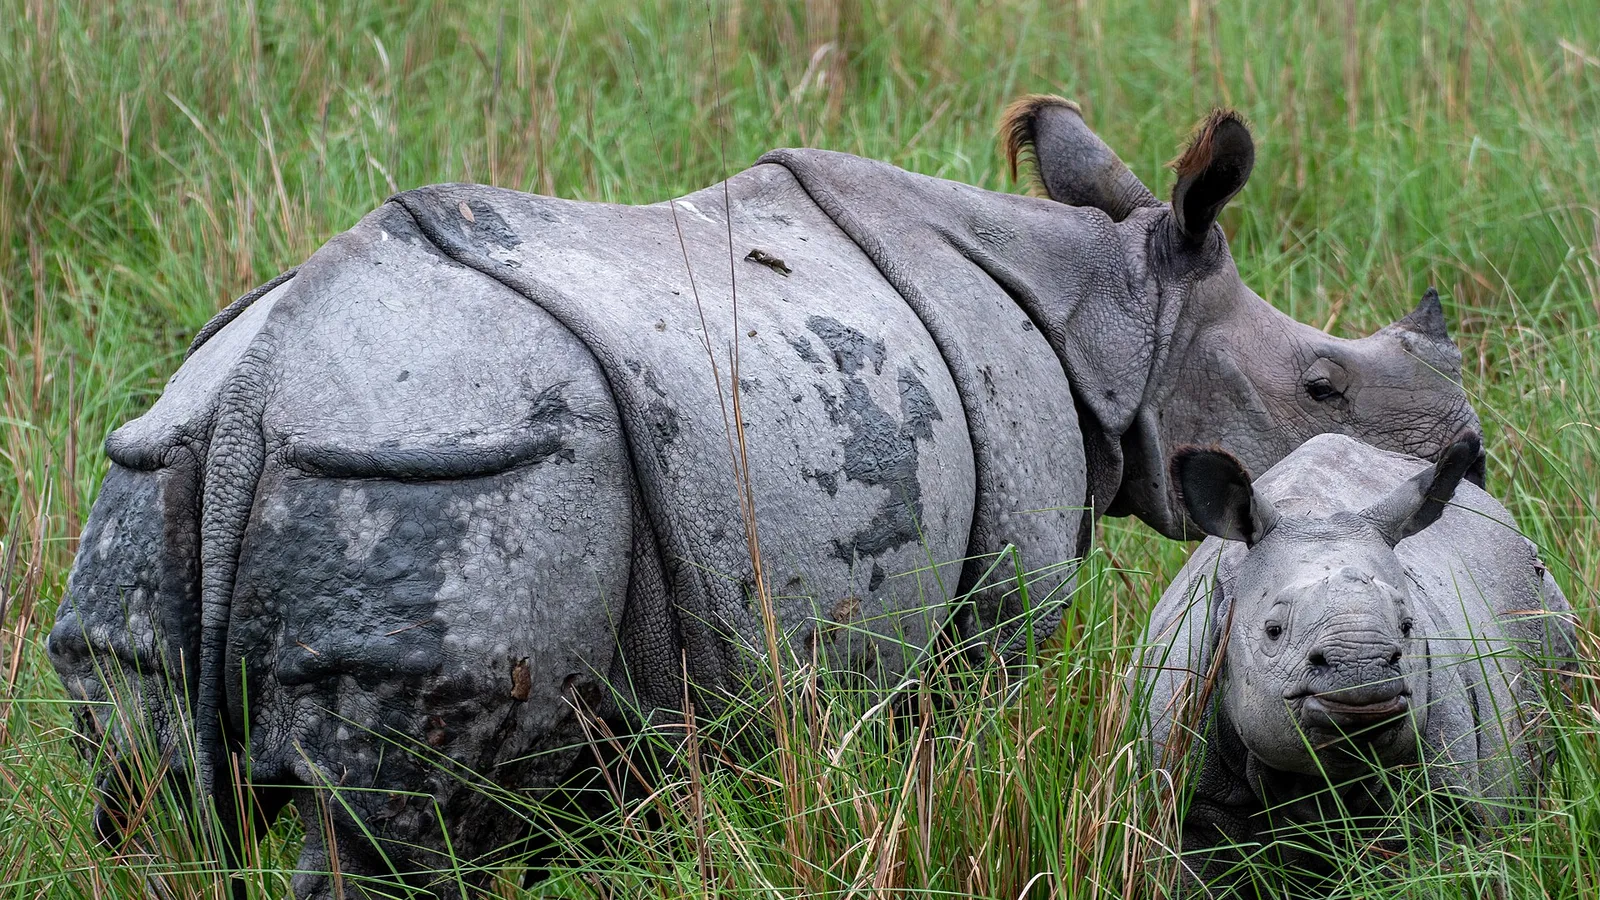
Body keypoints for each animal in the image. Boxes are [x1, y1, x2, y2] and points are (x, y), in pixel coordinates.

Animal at [50, 97, 1483, 897]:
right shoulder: (994, 603)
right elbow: (969, 736)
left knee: (143, 809)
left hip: (164, 468)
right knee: (383, 837)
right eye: (1320, 386)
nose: (1467, 449)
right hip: (450, 470)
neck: (1111, 308)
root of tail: (256, 399)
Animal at [1133, 432, 1575, 896]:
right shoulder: (1191, 805)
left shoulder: (1441, 801)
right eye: (1273, 630)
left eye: (1407, 626)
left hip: (1543, 606)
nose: (1362, 668)